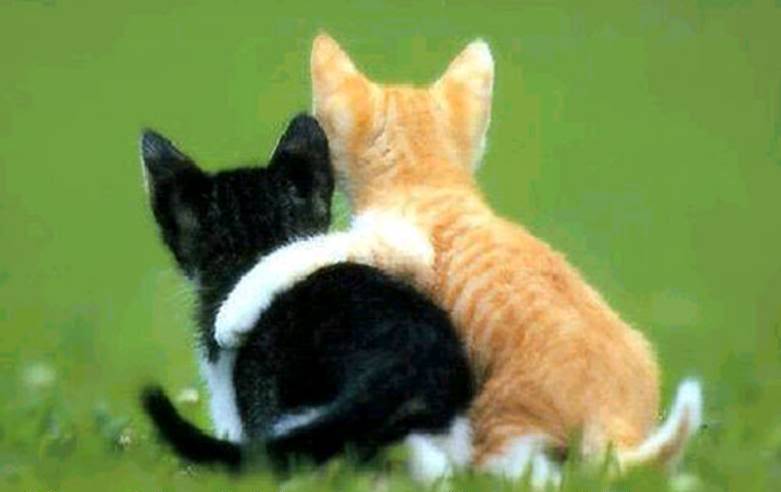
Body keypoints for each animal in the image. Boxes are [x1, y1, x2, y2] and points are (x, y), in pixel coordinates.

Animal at [214, 35, 703, 487]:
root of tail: (617, 415)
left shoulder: (402, 244)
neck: (430, 180)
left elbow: (310, 249)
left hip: (502, 418)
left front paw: (234, 312)